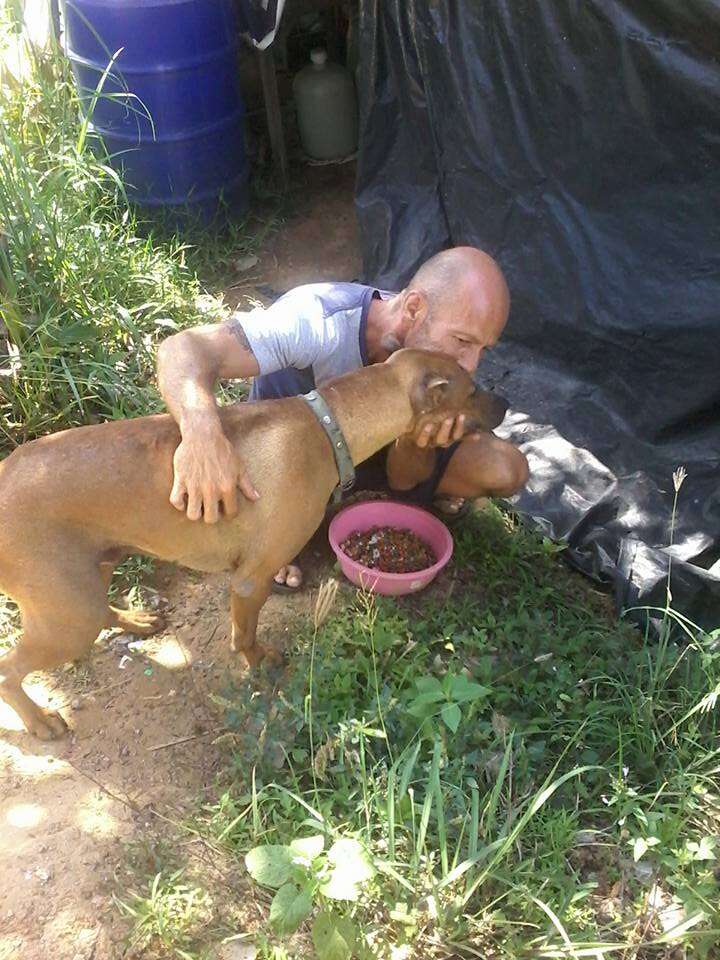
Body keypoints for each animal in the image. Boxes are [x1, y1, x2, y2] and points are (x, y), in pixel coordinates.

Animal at [0, 348, 506, 740]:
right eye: (473, 390)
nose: (504, 403)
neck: (329, 426)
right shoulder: (251, 579)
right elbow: (245, 634)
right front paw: (258, 661)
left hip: (87, 578)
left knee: (99, 609)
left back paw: (135, 620)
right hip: (68, 613)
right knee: (8, 670)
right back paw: (39, 722)